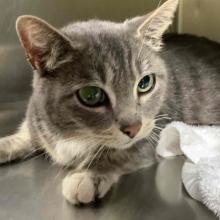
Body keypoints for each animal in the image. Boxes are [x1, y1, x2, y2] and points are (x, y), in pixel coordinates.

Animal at [0, 0, 220, 205]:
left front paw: (88, 175)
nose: (133, 128)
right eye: (90, 95)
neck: (75, 135)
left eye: (145, 83)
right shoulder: (36, 119)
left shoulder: (158, 129)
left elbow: (123, 151)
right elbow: (24, 135)